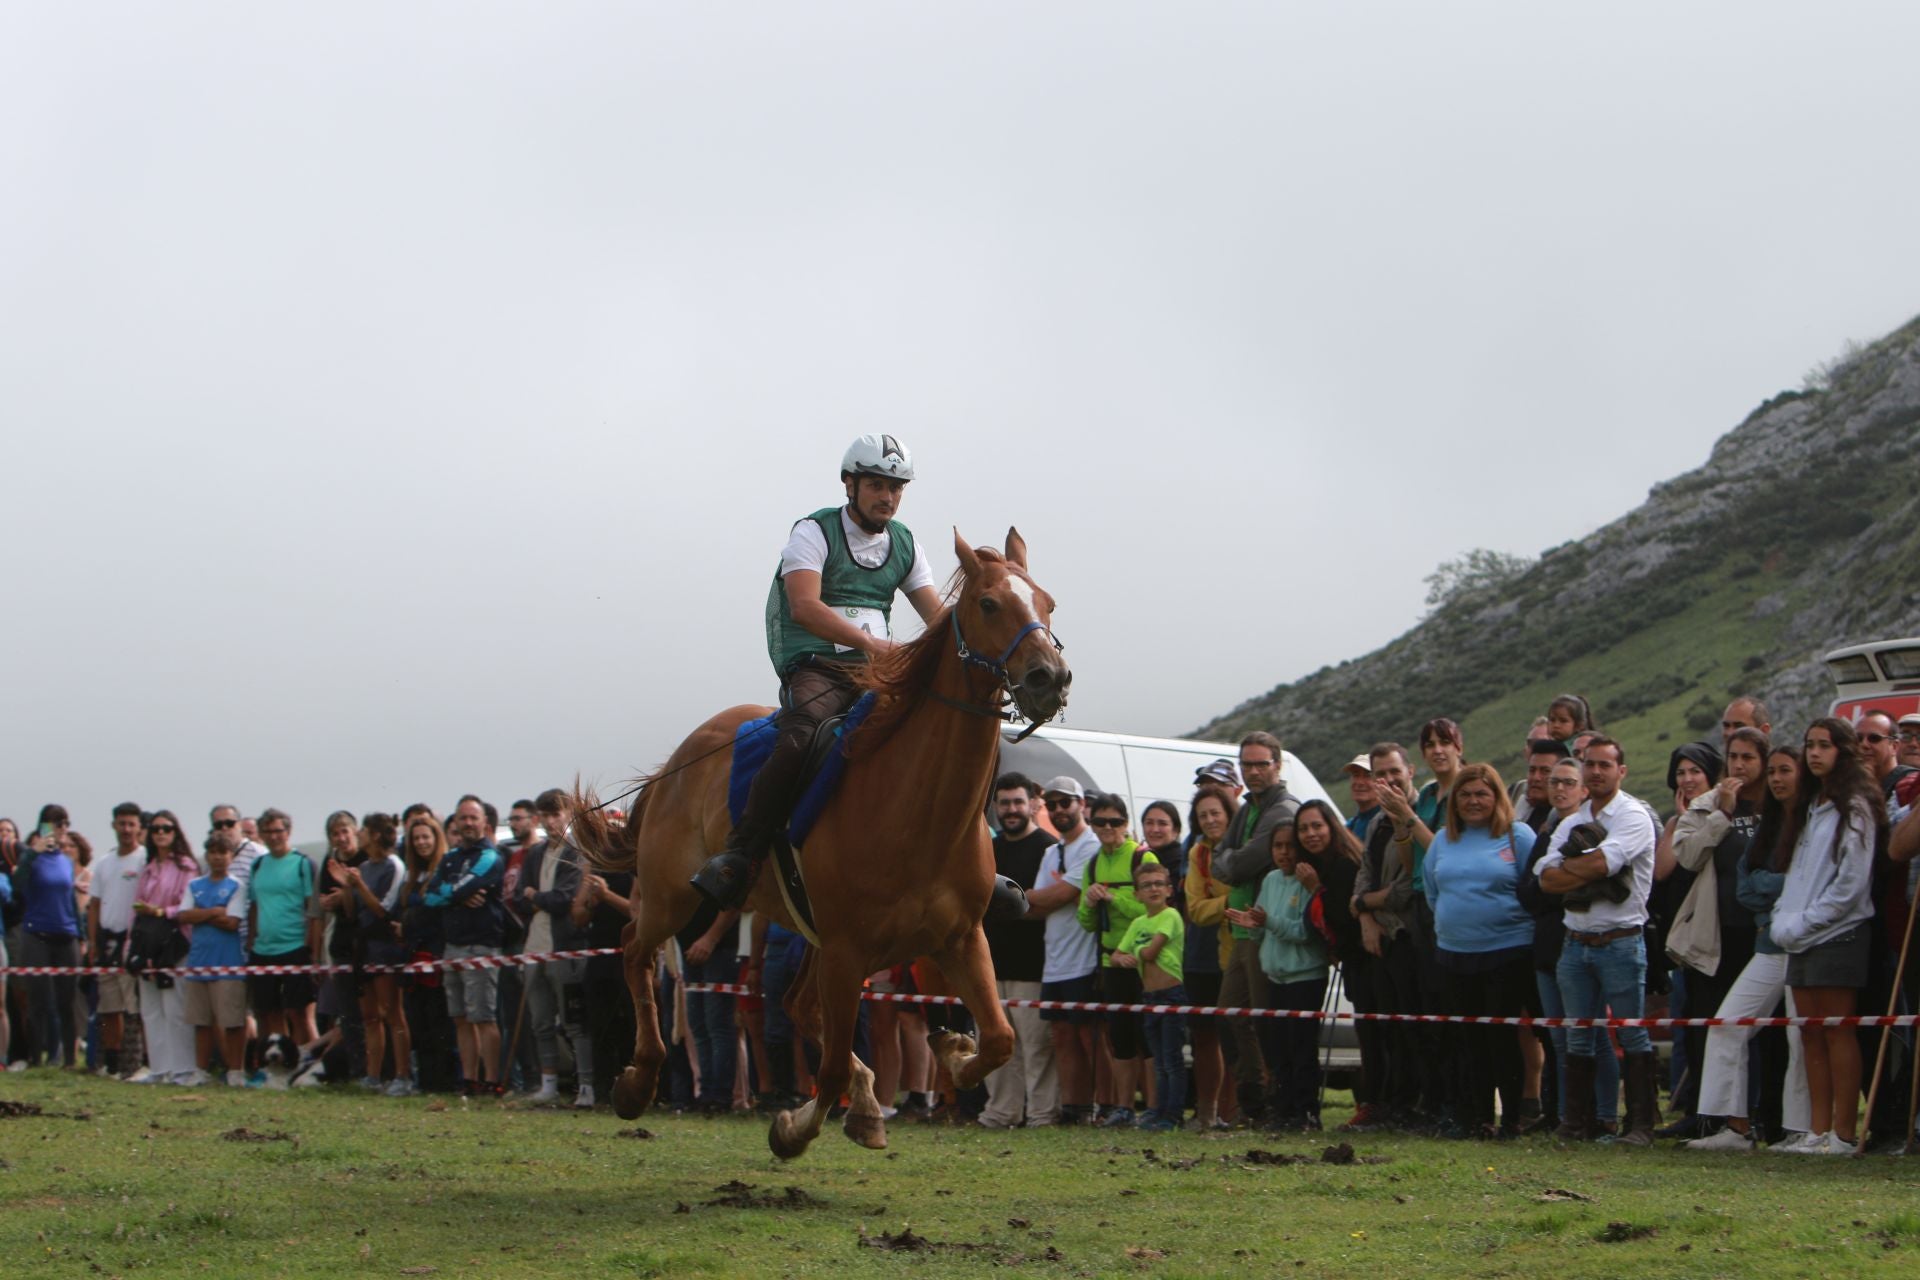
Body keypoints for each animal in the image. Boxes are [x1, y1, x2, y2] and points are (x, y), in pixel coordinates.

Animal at [576, 529, 1075, 1159]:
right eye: (989, 604)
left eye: (1048, 603)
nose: (1048, 678)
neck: (919, 814)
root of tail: (680, 759)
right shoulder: (846, 951)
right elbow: (832, 1068)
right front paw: (793, 1130)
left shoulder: (959, 940)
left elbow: (1001, 1039)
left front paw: (951, 1052)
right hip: (673, 897)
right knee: (634, 951)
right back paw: (638, 1081)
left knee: (793, 1005)